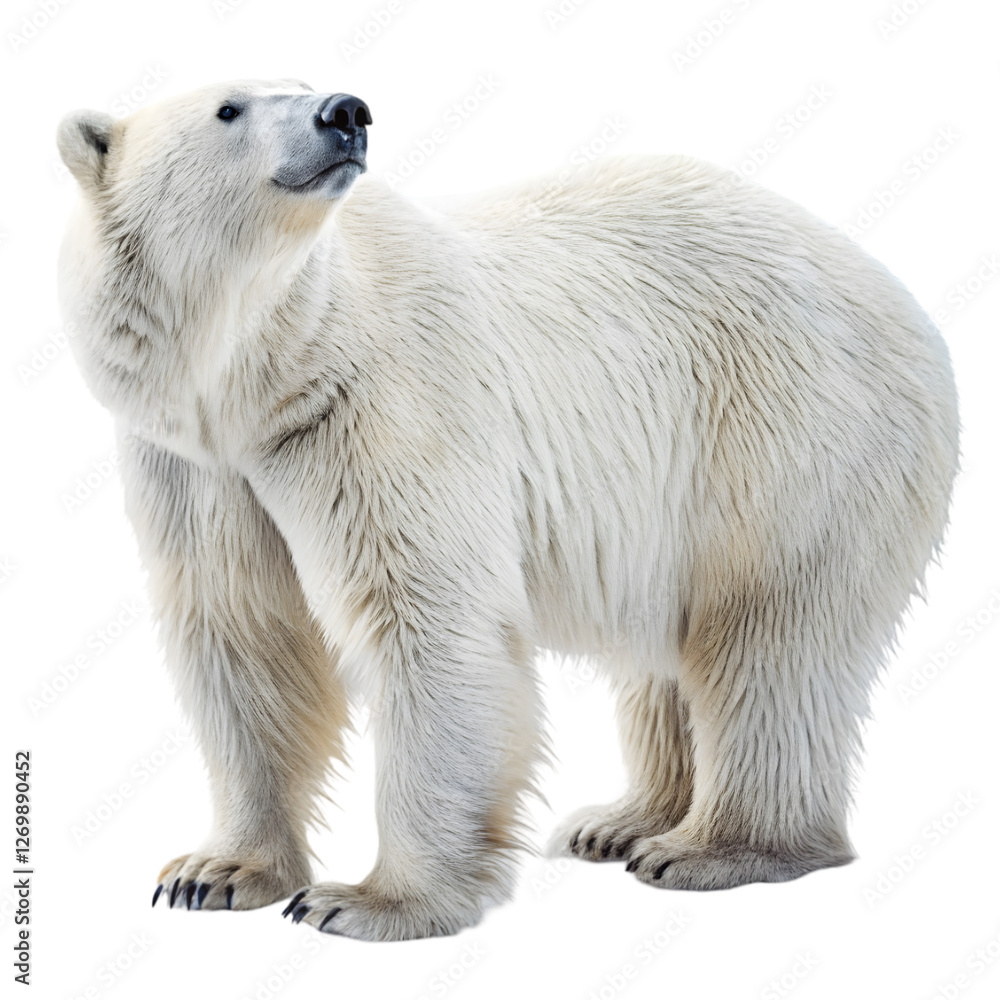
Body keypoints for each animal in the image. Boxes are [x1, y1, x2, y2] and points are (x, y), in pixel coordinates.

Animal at [56, 79, 959, 941]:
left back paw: (710, 847)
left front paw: (367, 902)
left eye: (301, 82)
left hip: (786, 435)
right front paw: (212, 873)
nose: (345, 113)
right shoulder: (199, 465)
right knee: (668, 652)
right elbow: (245, 633)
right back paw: (622, 821)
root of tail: (896, 290)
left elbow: (426, 620)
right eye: (229, 107)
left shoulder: (378, 407)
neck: (262, 373)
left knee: (768, 633)